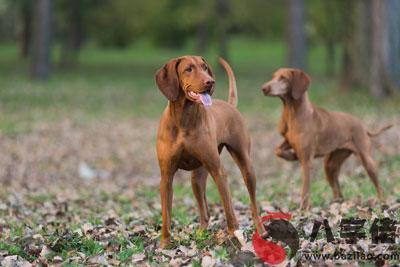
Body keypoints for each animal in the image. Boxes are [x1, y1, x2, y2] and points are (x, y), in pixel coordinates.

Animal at [156, 56, 262, 249]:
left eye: (205, 67)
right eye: (188, 69)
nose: (210, 81)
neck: (184, 119)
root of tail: (229, 104)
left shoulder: (218, 171)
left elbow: (228, 208)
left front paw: (235, 235)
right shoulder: (166, 176)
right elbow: (166, 214)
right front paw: (165, 243)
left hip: (246, 166)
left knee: (253, 205)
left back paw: (262, 231)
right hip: (197, 178)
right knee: (204, 212)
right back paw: (201, 234)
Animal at [260, 69, 392, 211]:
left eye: (283, 78)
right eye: (273, 77)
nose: (264, 88)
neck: (292, 113)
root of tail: (362, 125)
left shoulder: (306, 162)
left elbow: (305, 189)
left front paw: (303, 210)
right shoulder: (288, 142)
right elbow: (277, 150)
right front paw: (291, 155)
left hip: (366, 160)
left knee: (379, 187)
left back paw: (381, 202)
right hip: (330, 165)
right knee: (338, 191)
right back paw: (335, 203)